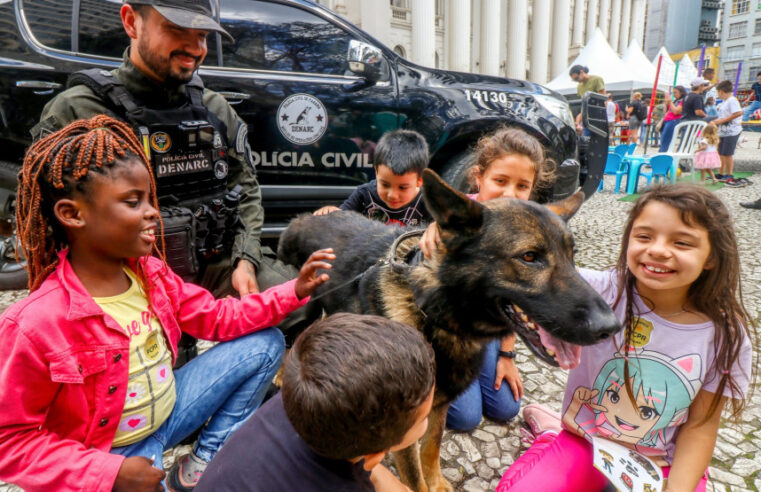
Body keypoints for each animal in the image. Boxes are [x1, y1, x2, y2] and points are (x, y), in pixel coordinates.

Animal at [276, 170, 620, 492]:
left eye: (572, 257)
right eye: (529, 257)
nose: (612, 326)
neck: (434, 313)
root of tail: (303, 218)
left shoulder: (438, 407)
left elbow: (432, 447)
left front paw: (437, 481)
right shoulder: (403, 431)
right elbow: (414, 478)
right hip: (303, 305)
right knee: (288, 336)